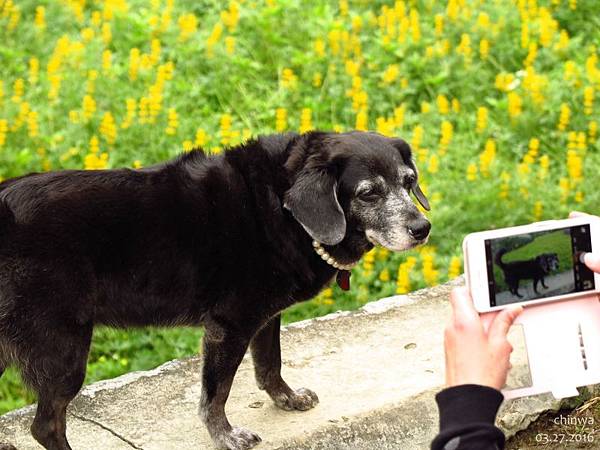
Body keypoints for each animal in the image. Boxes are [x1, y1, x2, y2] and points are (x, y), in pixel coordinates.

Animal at [0, 131, 432, 450]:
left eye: (408, 182)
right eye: (368, 193)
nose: (422, 228)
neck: (279, 203)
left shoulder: (265, 316)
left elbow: (270, 364)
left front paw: (287, 399)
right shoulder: (230, 324)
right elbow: (217, 392)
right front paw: (225, 434)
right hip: (64, 349)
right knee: (46, 426)